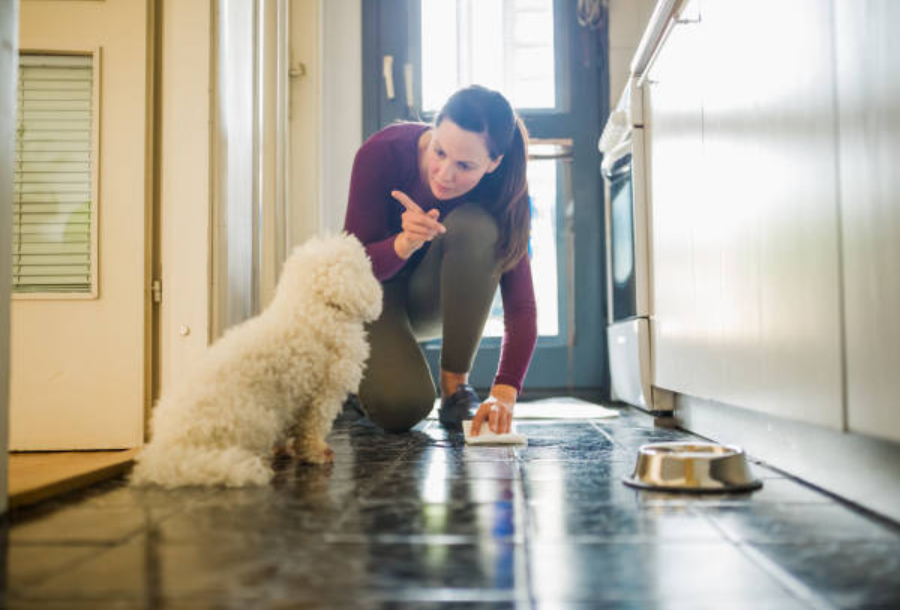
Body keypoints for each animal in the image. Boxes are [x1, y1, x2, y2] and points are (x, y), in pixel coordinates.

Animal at [128, 232, 382, 490]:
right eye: (364, 265)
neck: (315, 306)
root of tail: (166, 449)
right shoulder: (324, 391)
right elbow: (313, 426)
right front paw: (317, 453)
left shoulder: (291, 399)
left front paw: (287, 449)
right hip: (258, 417)